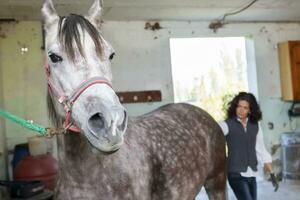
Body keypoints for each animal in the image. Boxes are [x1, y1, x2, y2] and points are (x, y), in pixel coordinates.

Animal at [41, 0, 226, 199]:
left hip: (217, 183)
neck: (84, 178)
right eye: (54, 57)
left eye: (111, 55)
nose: (110, 123)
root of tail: (200, 112)